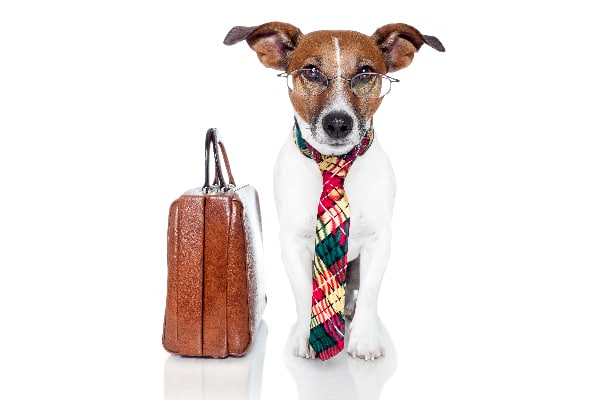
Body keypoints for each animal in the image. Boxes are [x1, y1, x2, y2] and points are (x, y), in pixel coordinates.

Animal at [223, 21, 442, 360]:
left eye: (365, 73)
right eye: (311, 72)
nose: (338, 123)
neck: (334, 166)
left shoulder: (380, 240)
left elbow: (370, 292)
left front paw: (364, 338)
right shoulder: (292, 242)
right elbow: (304, 292)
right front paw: (307, 337)